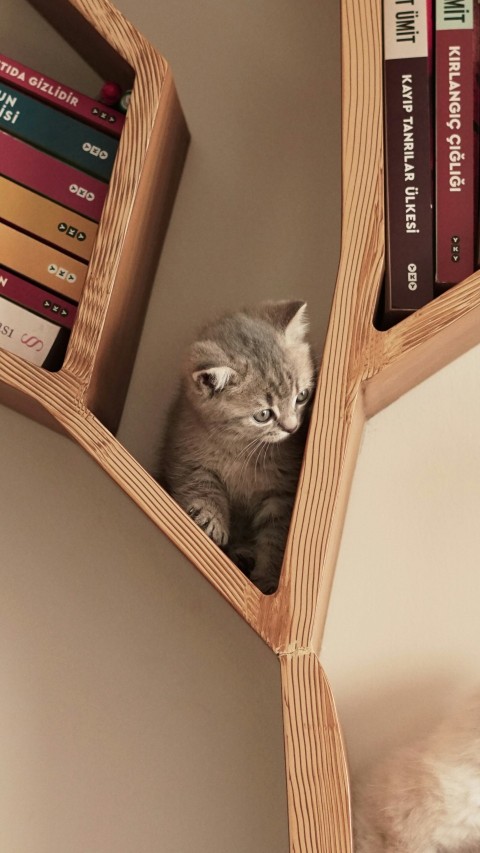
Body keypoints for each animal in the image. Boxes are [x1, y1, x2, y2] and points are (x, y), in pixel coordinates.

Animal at [158, 300, 316, 592]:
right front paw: (211, 518)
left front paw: (267, 579)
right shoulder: (184, 451)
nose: (292, 428)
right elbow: (202, 484)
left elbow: (275, 538)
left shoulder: (282, 493)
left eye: (302, 396)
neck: (241, 447)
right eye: (263, 415)